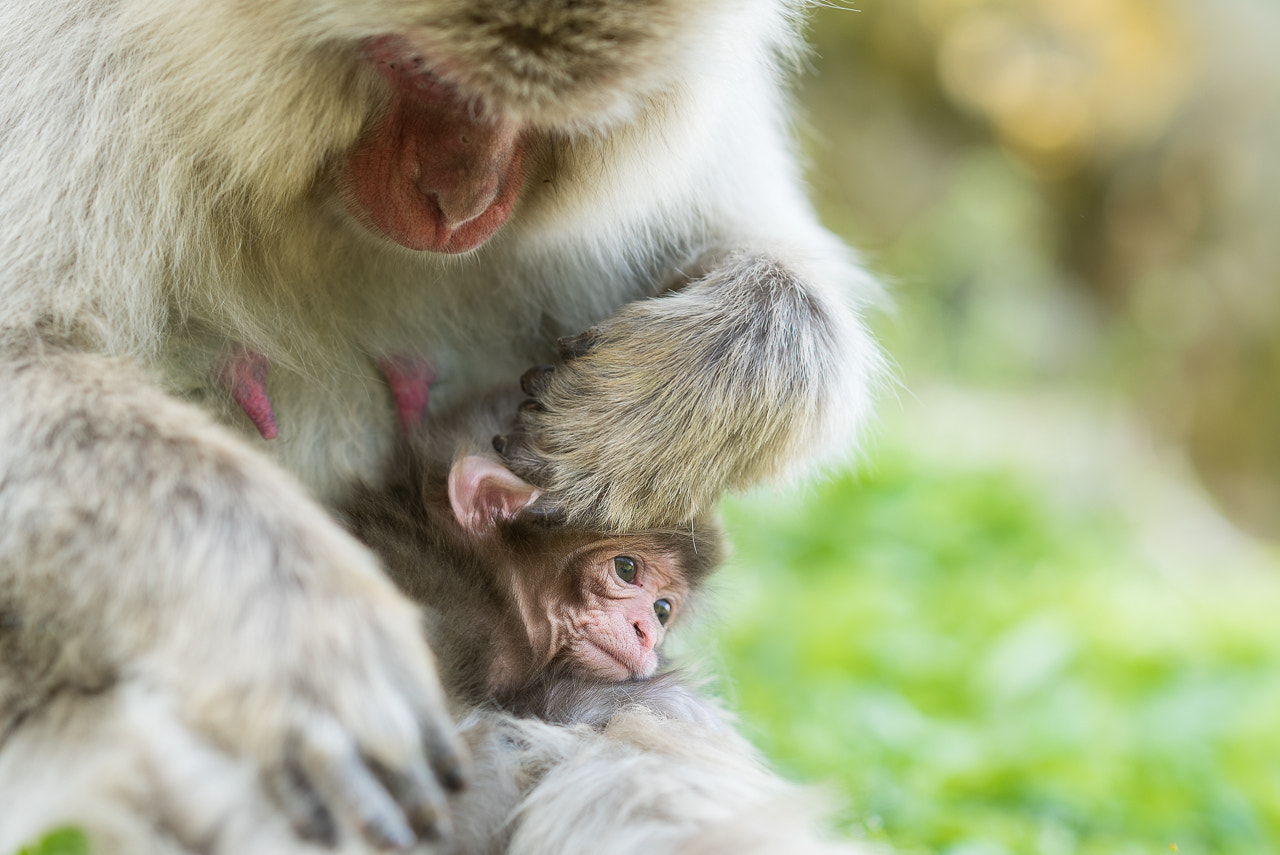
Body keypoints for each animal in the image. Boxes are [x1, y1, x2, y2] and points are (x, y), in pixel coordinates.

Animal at [0, 0, 880, 849]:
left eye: (544, 116)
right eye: (424, 74)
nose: (459, 202)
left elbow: (779, 267)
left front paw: (652, 403)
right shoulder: (67, 59)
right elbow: (27, 363)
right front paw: (309, 634)